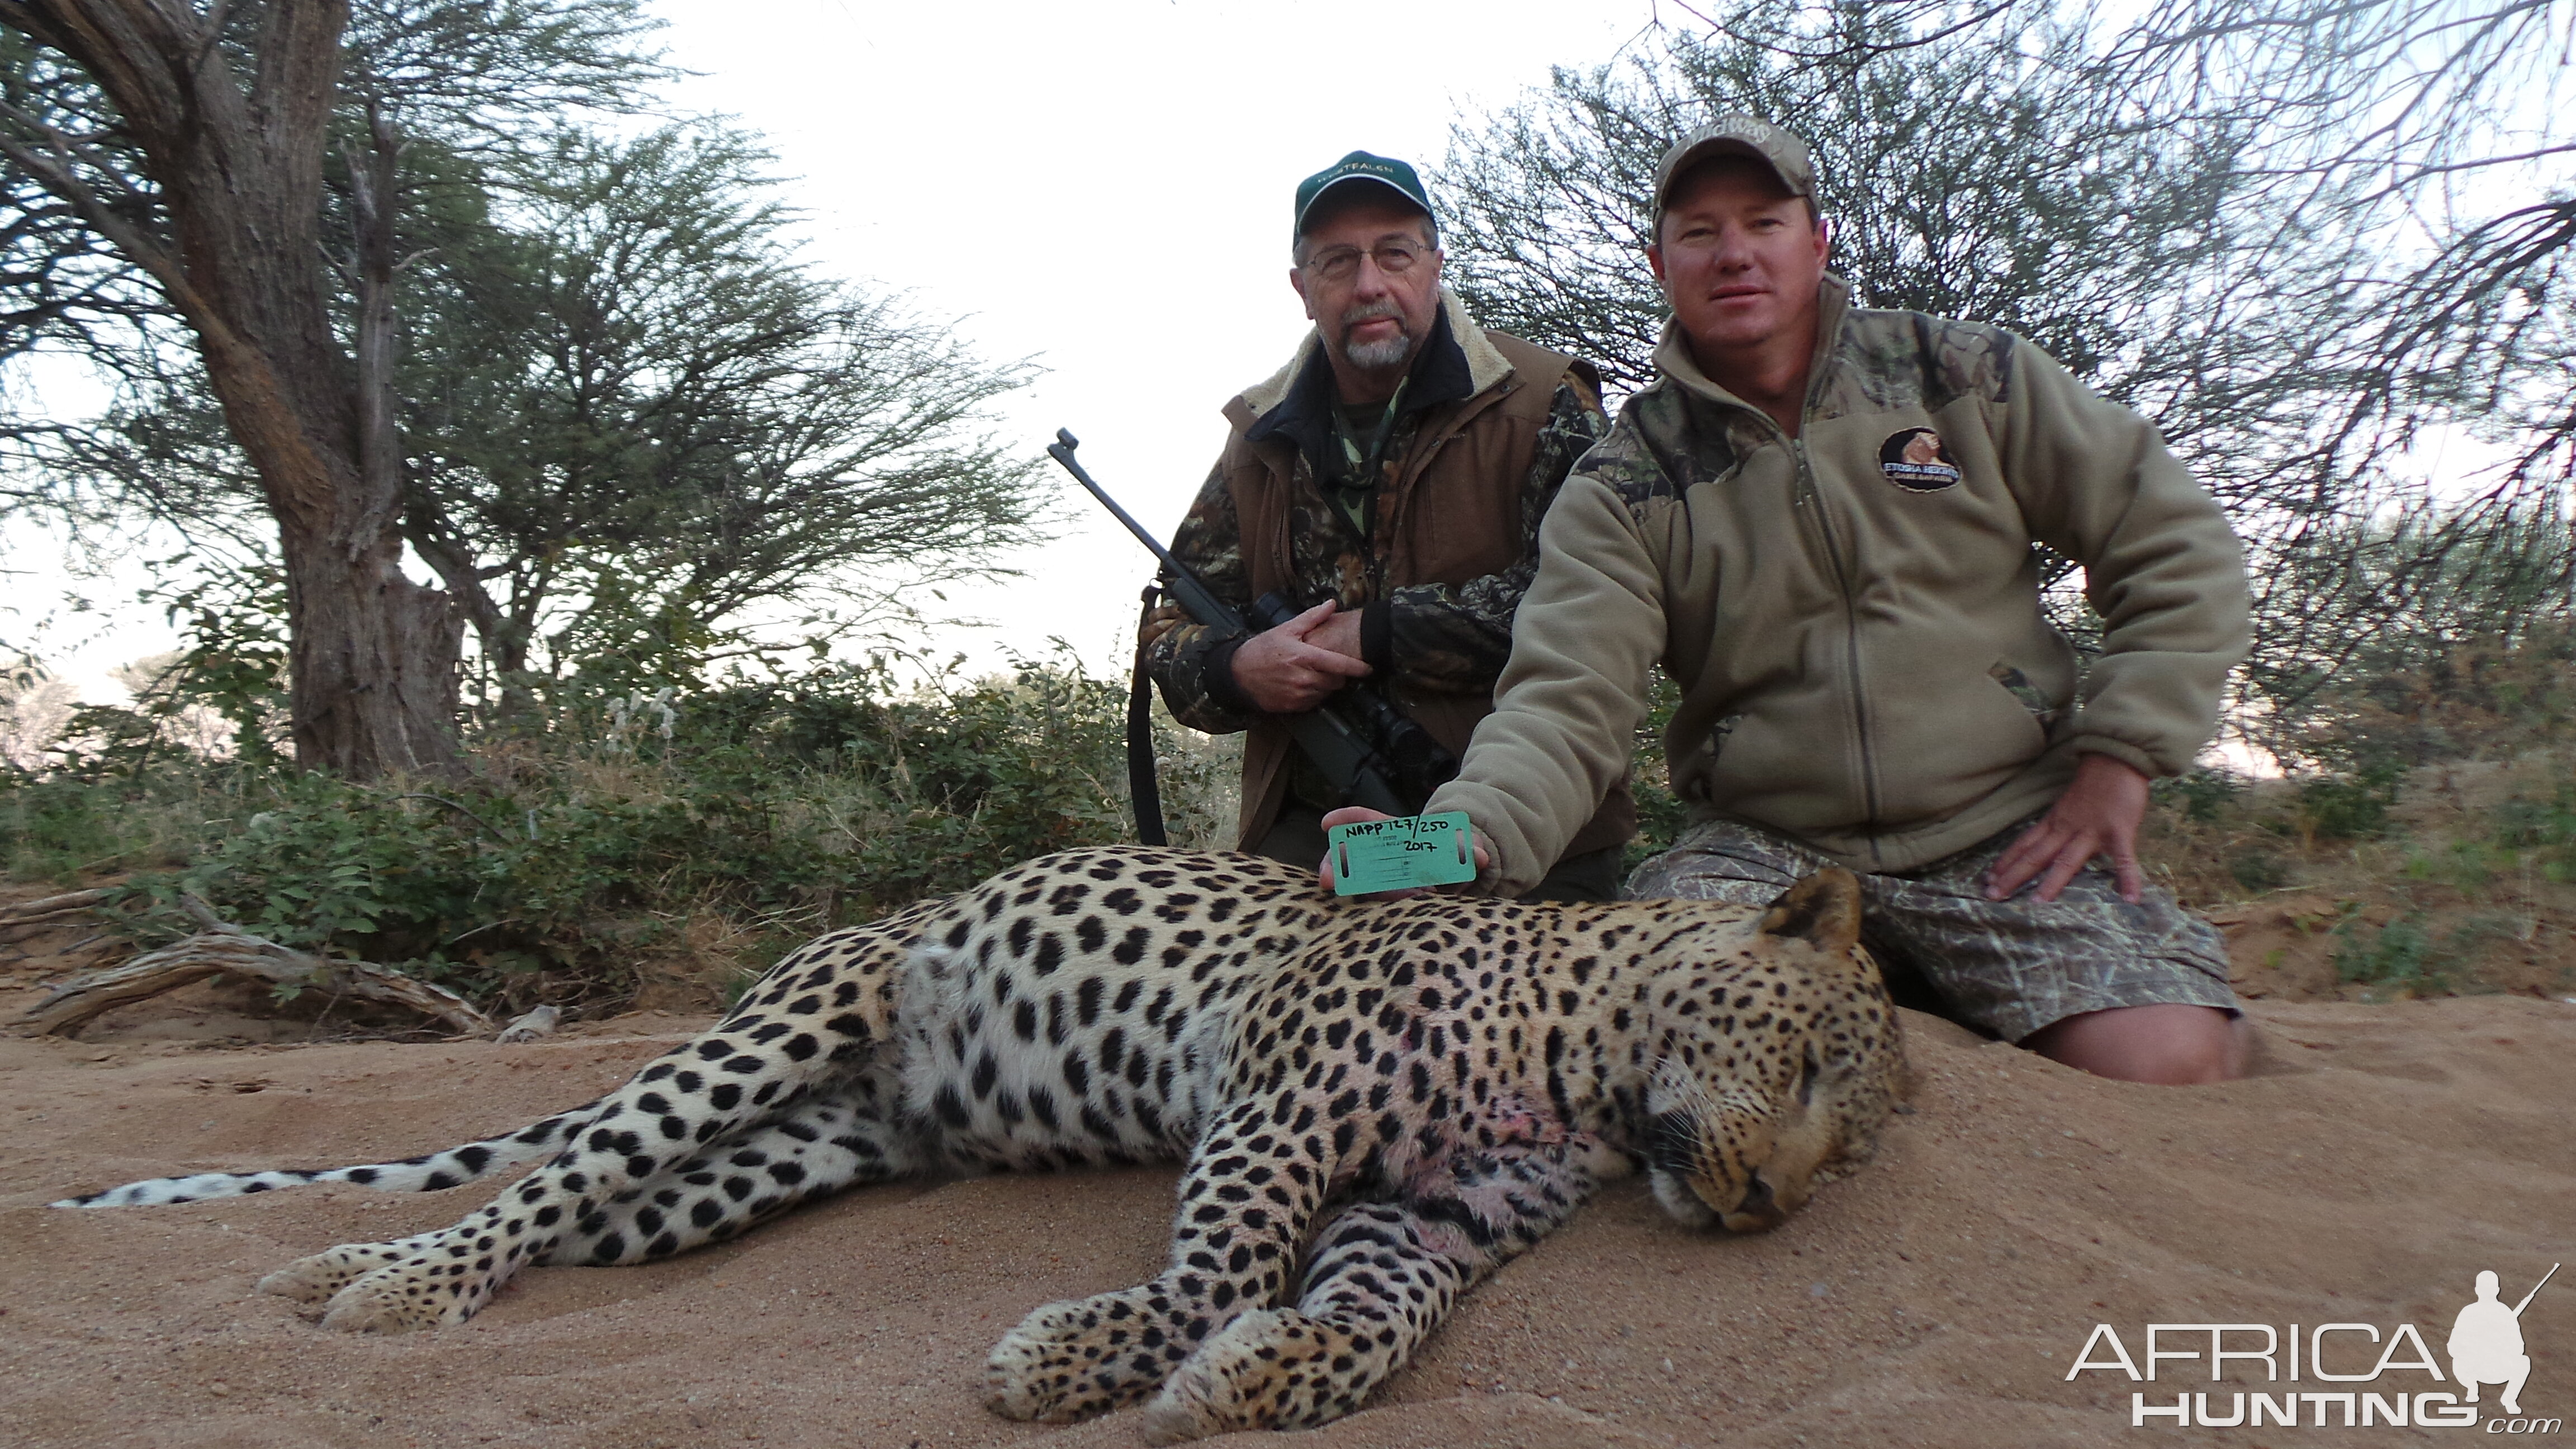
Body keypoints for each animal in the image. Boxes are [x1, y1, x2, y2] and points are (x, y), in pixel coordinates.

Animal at [50, 840, 1906, 1433]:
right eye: (1813, 1067)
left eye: (1848, 1170)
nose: (1760, 1205)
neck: (1584, 1080)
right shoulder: (1279, 1106)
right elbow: (1219, 1266)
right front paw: (1080, 1359)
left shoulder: (1434, 1216)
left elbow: (1364, 1332)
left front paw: (1245, 1381)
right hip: (785, 1025)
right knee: (570, 1167)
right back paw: (388, 1288)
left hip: (800, 1154)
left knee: (604, 1212)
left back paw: (353, 1268)